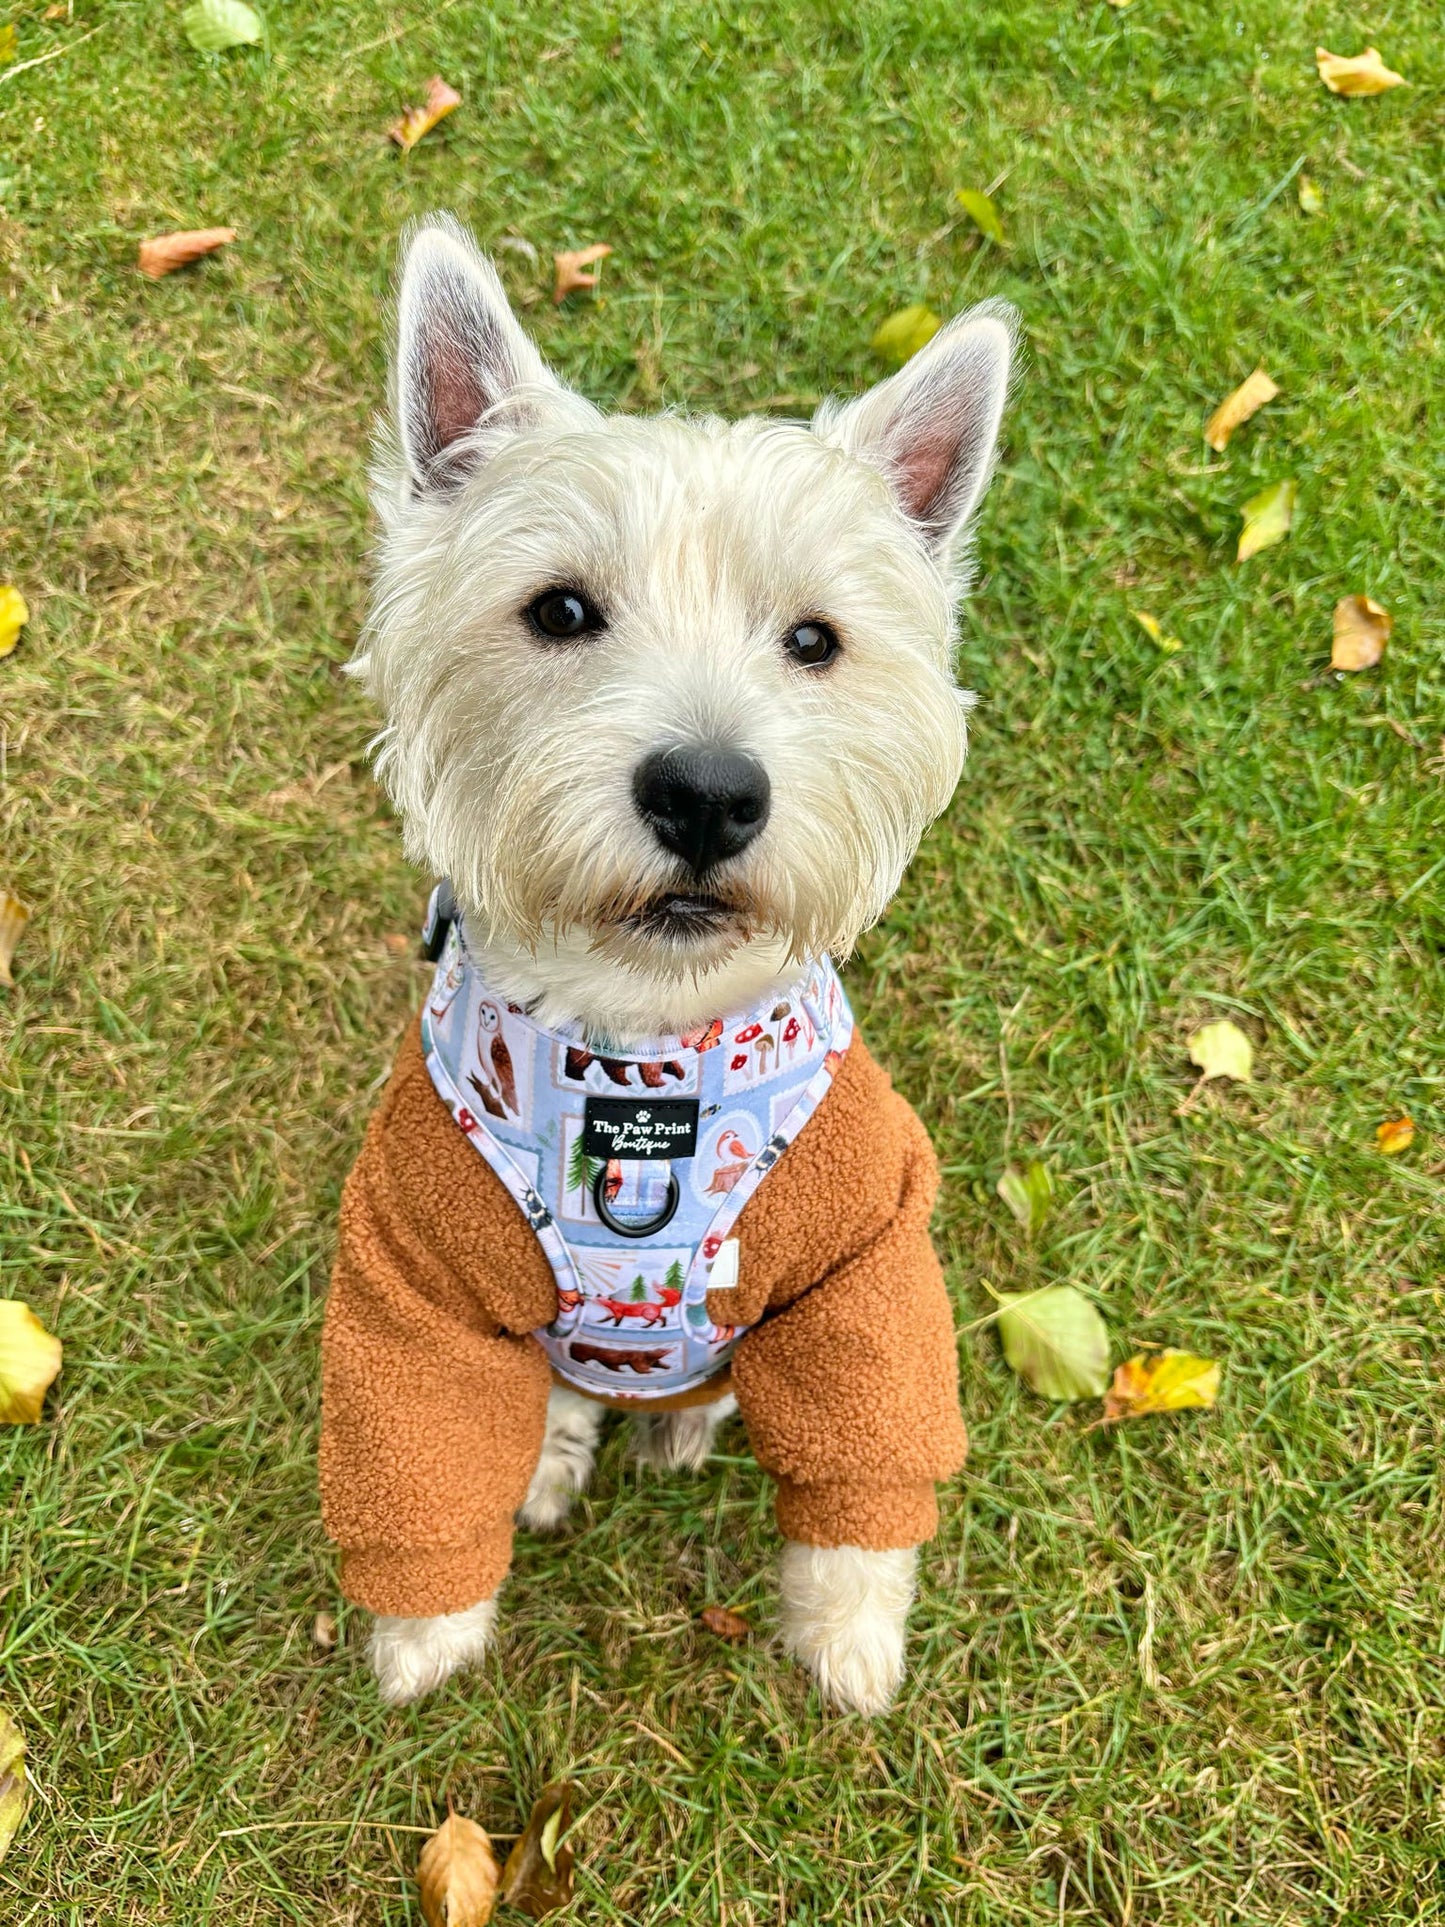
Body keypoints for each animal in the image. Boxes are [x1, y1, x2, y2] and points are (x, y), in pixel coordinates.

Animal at [333, 214, 1009, 1718]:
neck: (643, 1053)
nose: (707, 793)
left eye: (814, 639)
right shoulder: (412, 1277)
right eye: (560, 610)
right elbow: (419, 1454)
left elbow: (872, 1440)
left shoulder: (867, 1252)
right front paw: (425, 1634)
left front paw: (849, 1638)